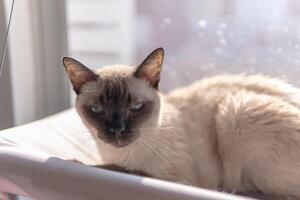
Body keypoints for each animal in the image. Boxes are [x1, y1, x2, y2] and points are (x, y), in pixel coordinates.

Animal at [63, 48, 300, 198]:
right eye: (97, 110)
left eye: (136, 106)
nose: (117, 130)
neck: (121, 154)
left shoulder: (174, 179)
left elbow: (121, 169)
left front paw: (73, 162)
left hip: (237, 111)